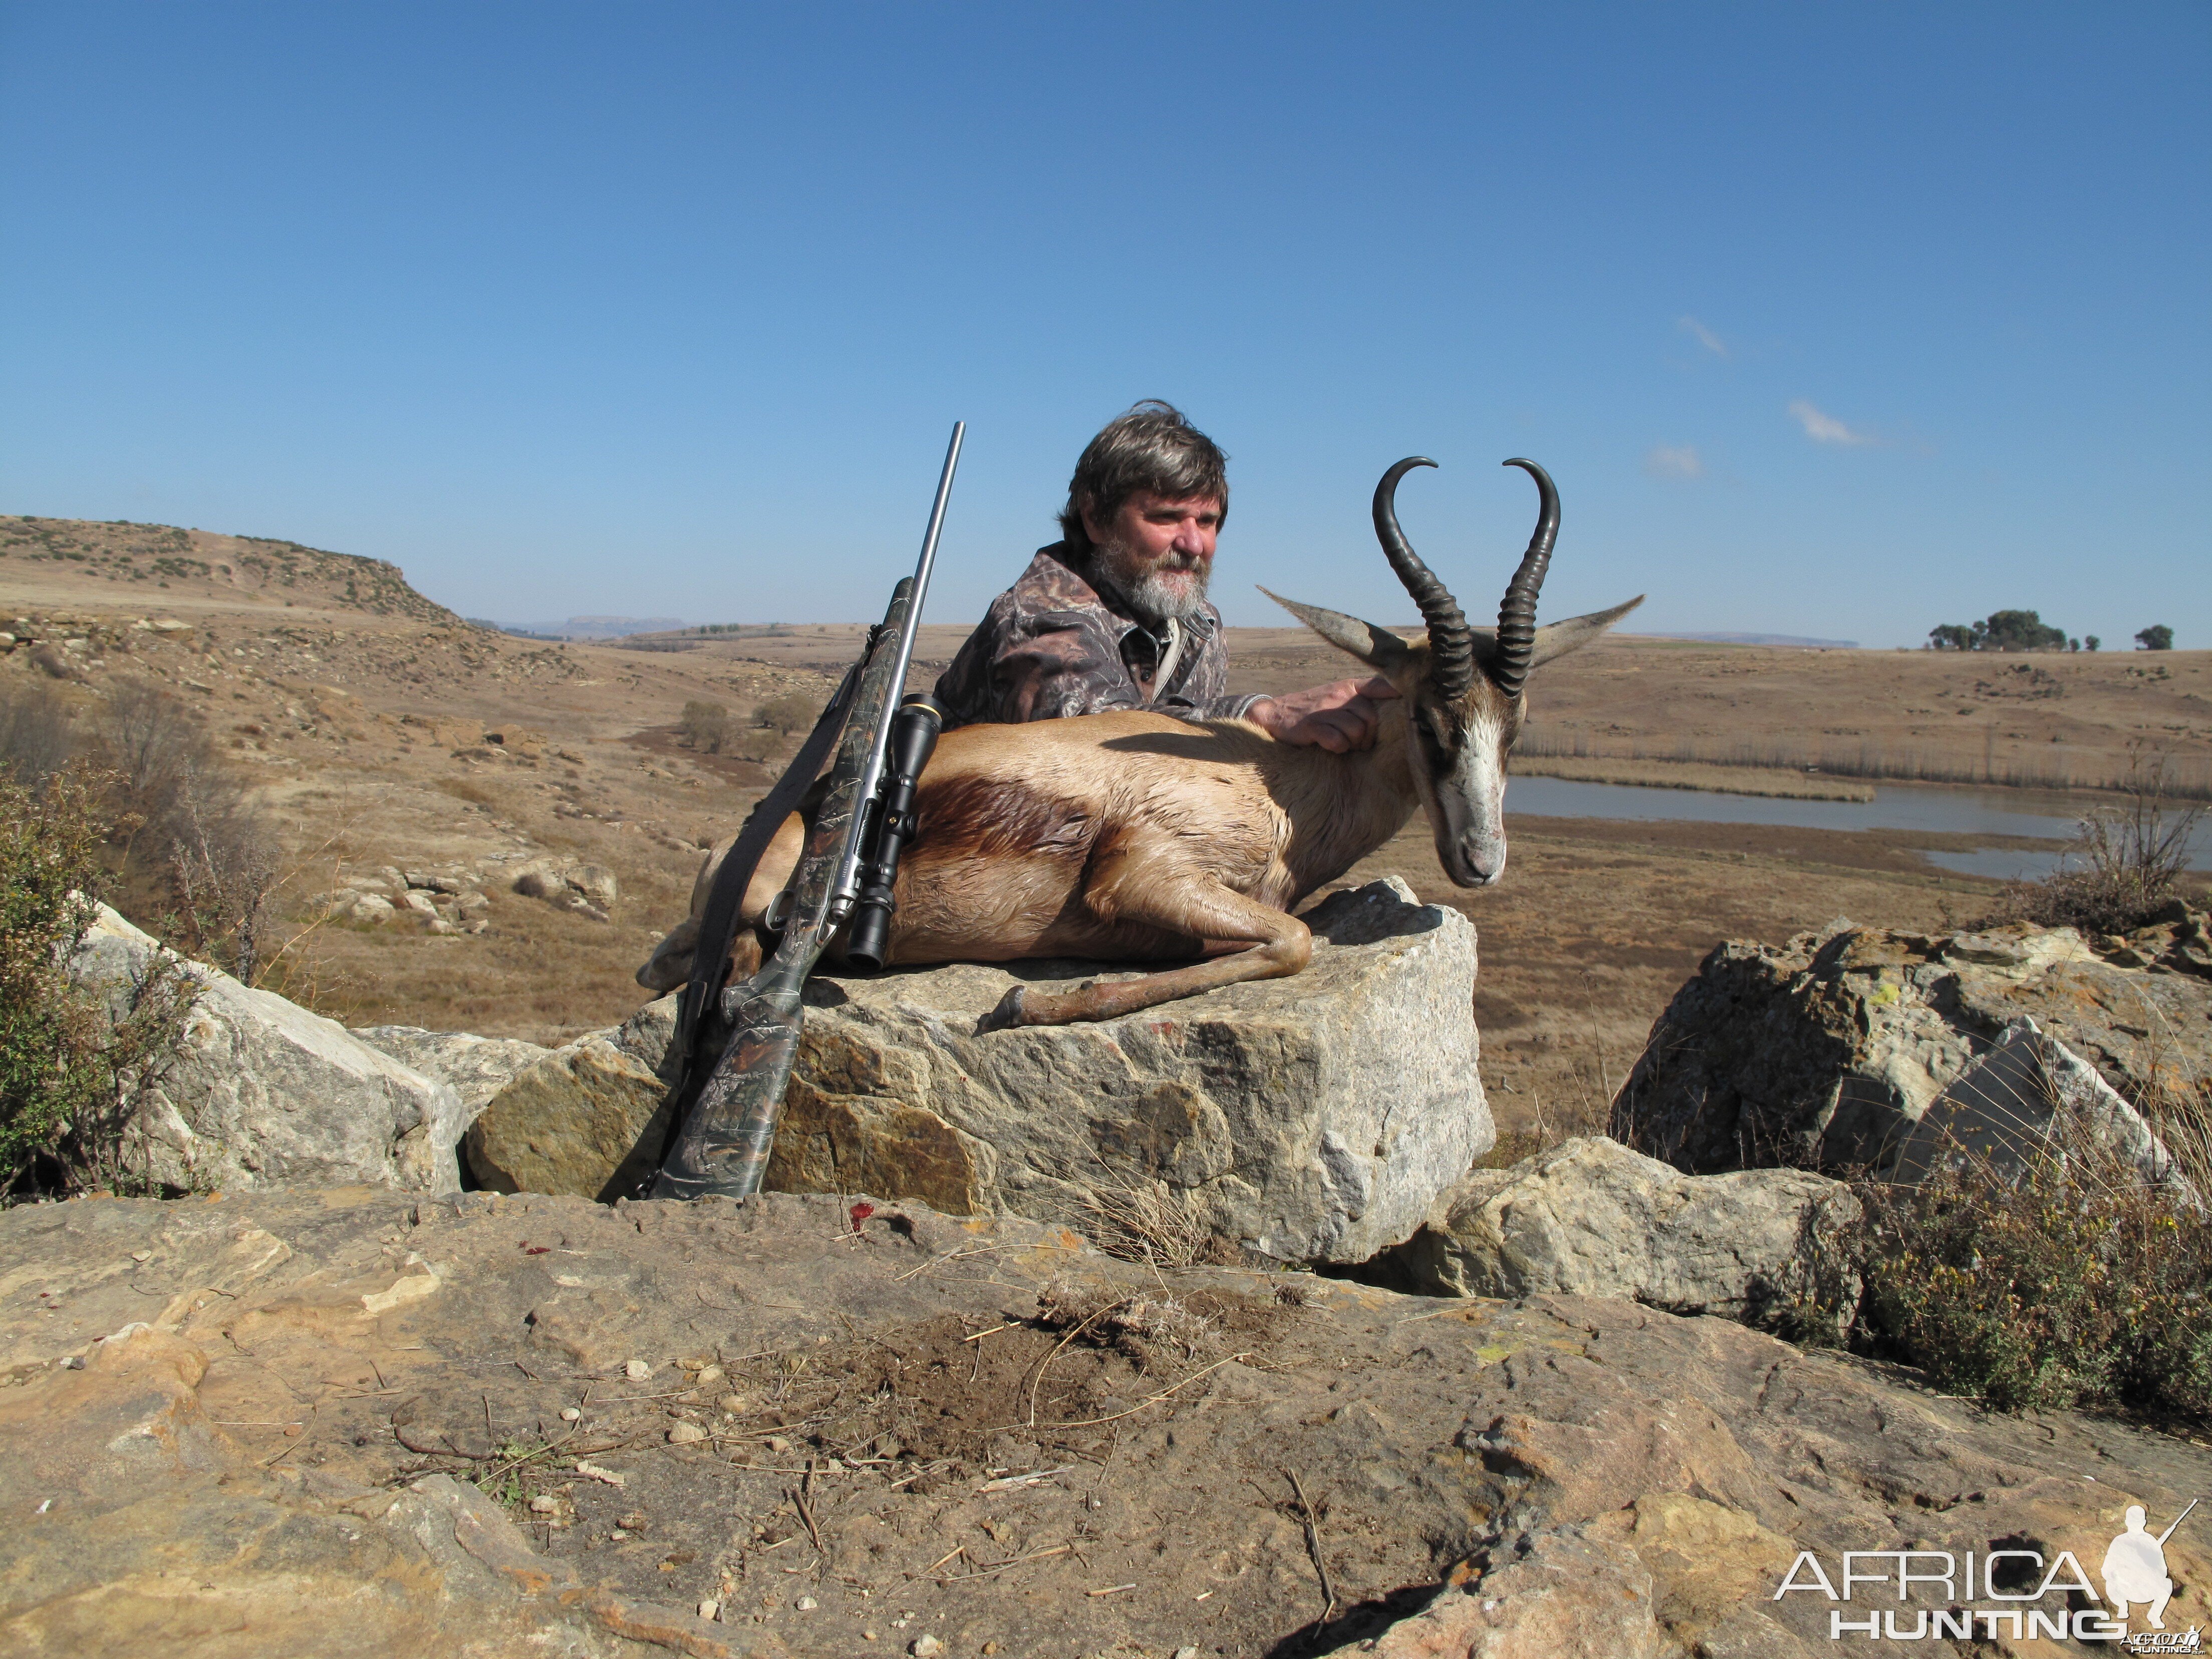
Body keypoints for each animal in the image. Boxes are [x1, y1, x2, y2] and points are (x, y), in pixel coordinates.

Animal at [641, 458, 1645, 1026]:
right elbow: (1294, 941)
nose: (1481, 860)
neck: (1279, 782)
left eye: (1517, 728)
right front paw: (1033, 1000)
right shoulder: (1144, 874)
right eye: (1427, 719)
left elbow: (1274, 939)